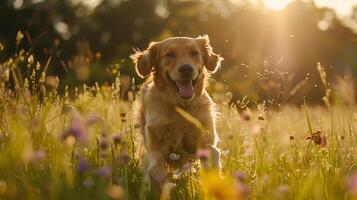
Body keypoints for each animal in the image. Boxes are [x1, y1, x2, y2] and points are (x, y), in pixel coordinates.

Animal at [131, 34, 222, 198]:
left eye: (194, 53)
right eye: (169, 55)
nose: (186, 68)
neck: (181, 107)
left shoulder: (206, 140)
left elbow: (212, 157)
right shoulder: (155, 146)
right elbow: (156, 172)